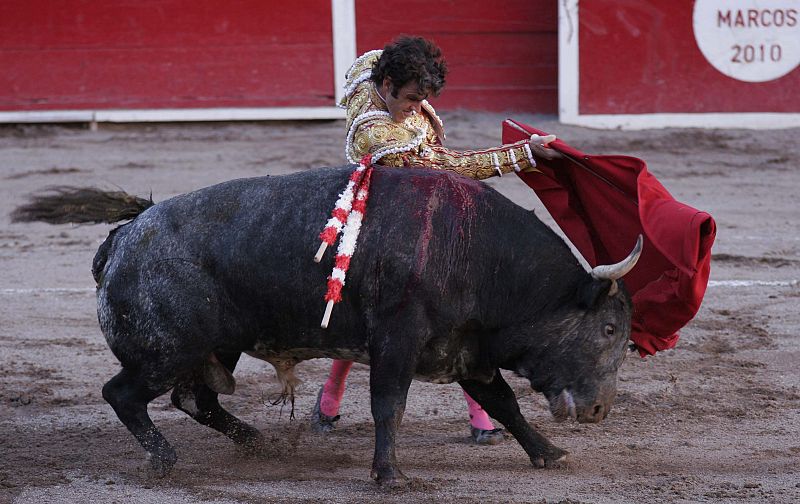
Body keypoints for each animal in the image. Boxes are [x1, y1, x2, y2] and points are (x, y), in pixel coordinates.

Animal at [15, 165, 640, 484]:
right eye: (610, 331)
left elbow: (504, 403)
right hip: (165, 350)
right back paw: (165, 460)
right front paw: (389, 475)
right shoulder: (398, 341)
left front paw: (548, 453)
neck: (476, 251)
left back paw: (260, 443)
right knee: (124, 393)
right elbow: (390, 404)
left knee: (196, 399)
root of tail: (125, 236)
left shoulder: (464, 348)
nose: (601, 409)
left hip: (216, 346)